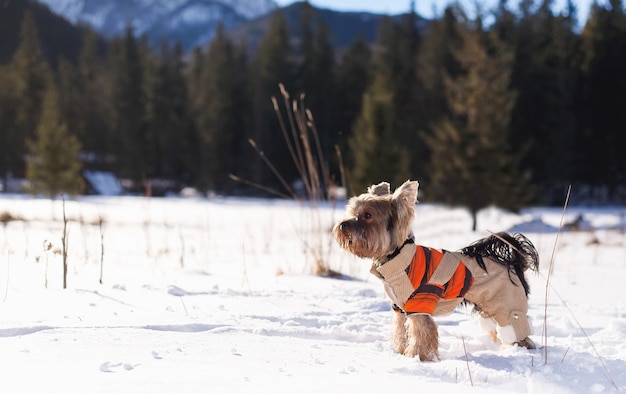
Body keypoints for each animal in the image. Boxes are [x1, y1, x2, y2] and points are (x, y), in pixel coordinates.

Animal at [330, 180, 540, 362]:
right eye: (351, 211)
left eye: (367, 215)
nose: (343, 224)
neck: (396, 257)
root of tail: (515, 261)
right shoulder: (400, 307)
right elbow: (400, 330)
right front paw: (400, 352)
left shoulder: (419, 306)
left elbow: (421, 333)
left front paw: (417, 357)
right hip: (490, 307)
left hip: (507, 306)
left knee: (518, 331)